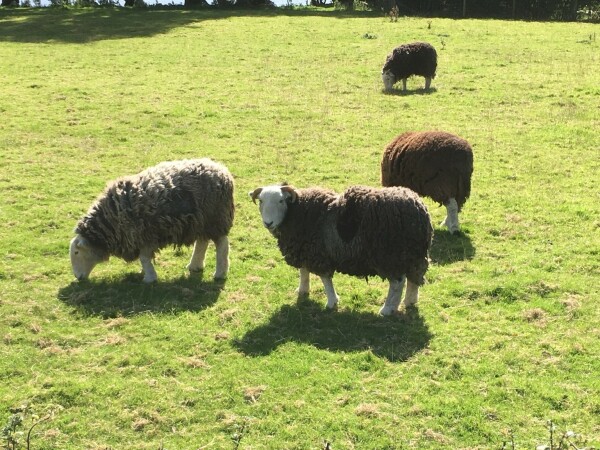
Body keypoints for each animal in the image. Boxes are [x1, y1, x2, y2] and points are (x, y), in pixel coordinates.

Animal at [69, 159, 234, 282]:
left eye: (76, 252)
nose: (78, 277)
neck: (111, 221)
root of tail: (223, 171)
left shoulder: (145, 235)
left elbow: (144, 258)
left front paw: (149, 278)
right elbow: (144, 258)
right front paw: (146, 273)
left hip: (216, 218)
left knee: (222, 245)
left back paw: (220, 273)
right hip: (201, 220)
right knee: (202, 241)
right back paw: (195, 266)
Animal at [248, 185, 432, 314]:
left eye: (281, 200)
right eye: (261, 201)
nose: (268, 223)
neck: (298, 212)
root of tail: (419, 210)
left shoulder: (319, 254)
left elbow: (325, 279)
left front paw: (331, 302)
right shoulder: (304, 249)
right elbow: (304, 271)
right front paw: (302, 290)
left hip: (389, 255)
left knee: (397, 282)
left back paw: (387, 309)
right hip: (413, 255)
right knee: (414, 278)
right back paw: (410, 301)